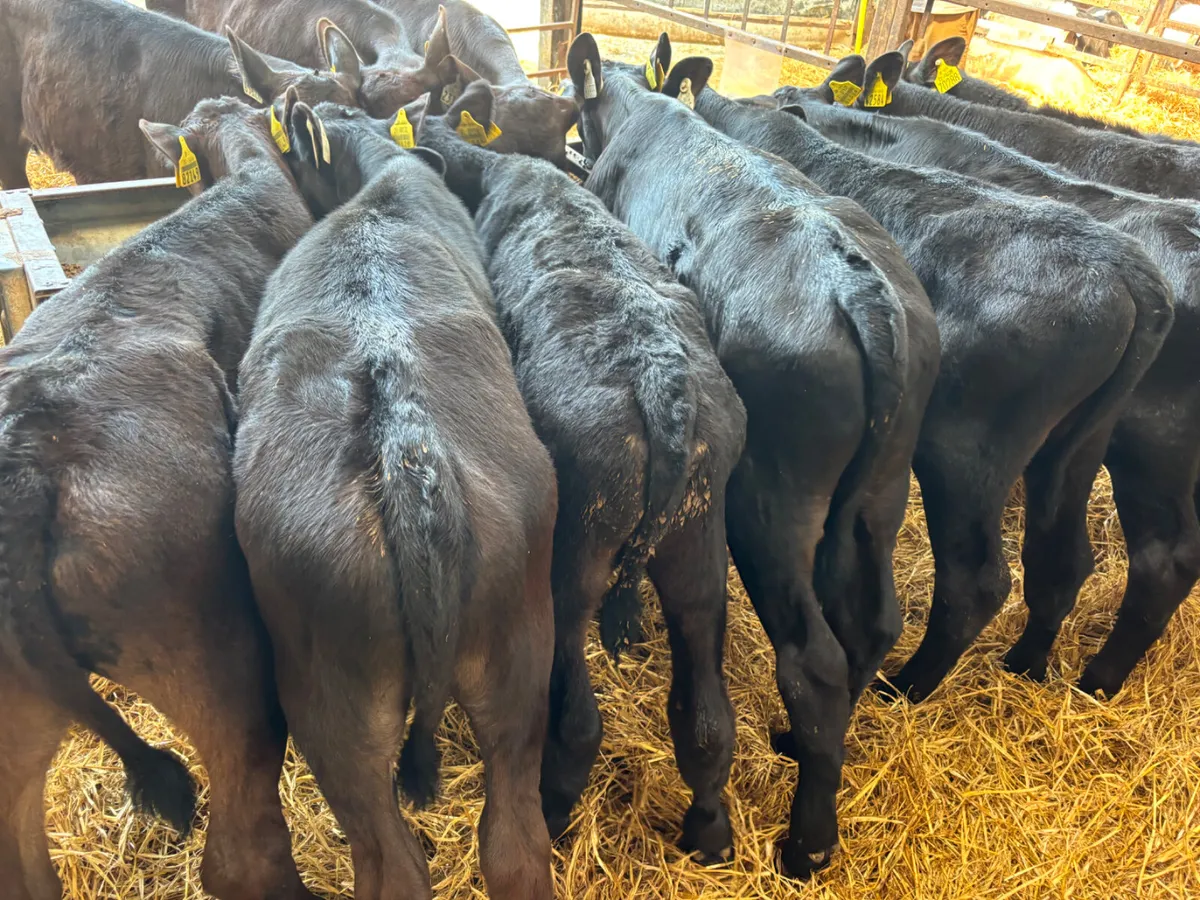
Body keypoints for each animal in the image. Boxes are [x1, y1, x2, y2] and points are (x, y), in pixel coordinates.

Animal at [399, 79, 748, 852]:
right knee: (709, 722)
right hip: (699, 549)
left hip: (576, 559)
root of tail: (660, 379)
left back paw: (555, 810)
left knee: (581, 720)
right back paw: (708, 832)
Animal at [556, 32, 940, 878]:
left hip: (772, 505)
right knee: (875, 621)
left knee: (814, 657)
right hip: (881, 494)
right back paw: (802, 746)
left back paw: (807, 842)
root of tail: (858, 284)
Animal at [702, 56, 1175, 705]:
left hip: (978, 452)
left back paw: (907, 687)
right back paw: (1033, 667)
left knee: (987, 581)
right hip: (1081, 446)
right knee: (1068, 560)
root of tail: (1127, 271)